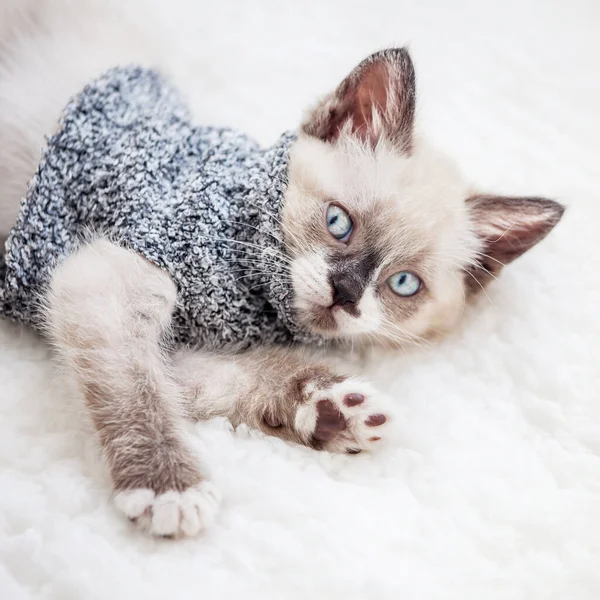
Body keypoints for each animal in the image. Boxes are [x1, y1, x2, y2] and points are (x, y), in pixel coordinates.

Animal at [0, 23, 564, 536]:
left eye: (403, 284)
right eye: (338, 223)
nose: (345, 294)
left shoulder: (183, 348)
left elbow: (229, 378)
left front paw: (329, 410)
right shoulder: (104, 284)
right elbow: (140, 393)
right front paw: (170, 488)